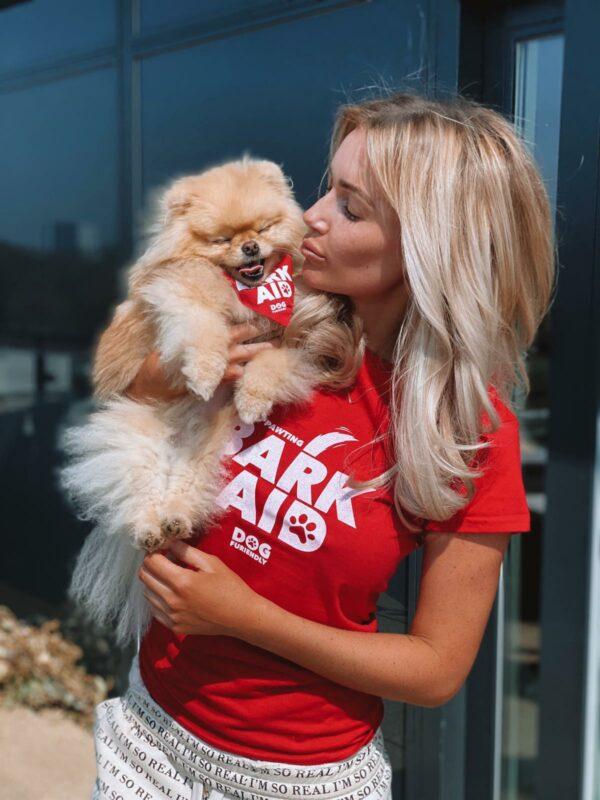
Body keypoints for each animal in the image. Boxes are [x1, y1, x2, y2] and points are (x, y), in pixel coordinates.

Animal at [58, 158, 344, 648]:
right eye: (222, 240)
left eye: (262, 229)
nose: (250, 247)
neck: (244, 294)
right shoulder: (179, 299)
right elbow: (204, 328)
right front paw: (206, 374)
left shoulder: (290, 346)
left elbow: (269, 364)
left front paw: (252, 398)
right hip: (138, 440)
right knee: (140, 491)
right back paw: (151, 525)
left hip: (207, 454)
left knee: (185, 489)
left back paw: (176, 519)